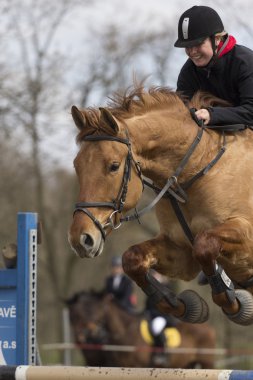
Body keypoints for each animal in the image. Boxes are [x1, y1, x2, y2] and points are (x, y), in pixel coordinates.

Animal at [65, 290, 215, 368]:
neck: (124, 332)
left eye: (98, 309)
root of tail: (208, 328)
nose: (86, 335)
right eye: (72, 314)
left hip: (206, 362)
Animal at [68, 86, 253, 326]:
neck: (193, 170)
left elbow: (204, 244)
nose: (81, 239)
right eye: (77, 165)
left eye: (114, 166)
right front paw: (184, 306)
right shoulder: (180, 250)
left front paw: (235, 303)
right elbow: (133, 259)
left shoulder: (245, 237)